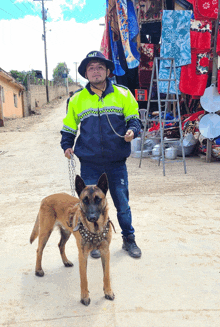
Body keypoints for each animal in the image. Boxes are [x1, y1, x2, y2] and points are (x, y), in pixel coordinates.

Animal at [30, 176, 115, 306]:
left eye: (98, 199)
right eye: (85, 200)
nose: (92, 217)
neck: (95, 230)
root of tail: (46, 198)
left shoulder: (105, 252)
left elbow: (106, 275)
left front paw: (108, 292)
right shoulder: (82, 255)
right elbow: (84, 279)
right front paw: (84, 297)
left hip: (66, 233)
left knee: (60, 245)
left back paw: (66, 262)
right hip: (45, 232)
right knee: (39, 250)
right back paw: (38, 270)